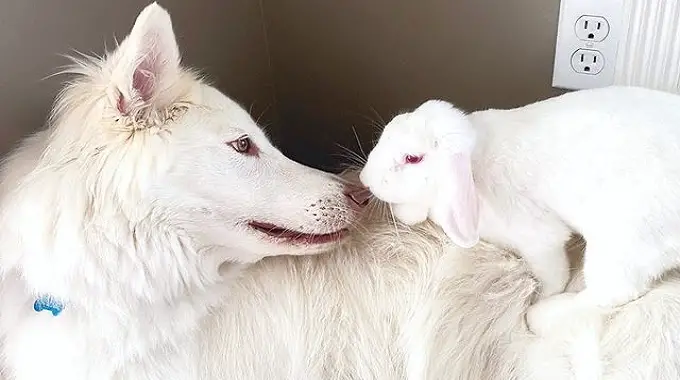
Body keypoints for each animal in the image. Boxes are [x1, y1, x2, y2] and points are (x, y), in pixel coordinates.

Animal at [362, 85, 680, 306]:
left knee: (612, 293)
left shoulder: (539, 240)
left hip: (622, 241)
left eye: (412, 158)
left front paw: (541, 296)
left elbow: (554, 276)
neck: (474, 165)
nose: (365, 179)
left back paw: (543, 313)